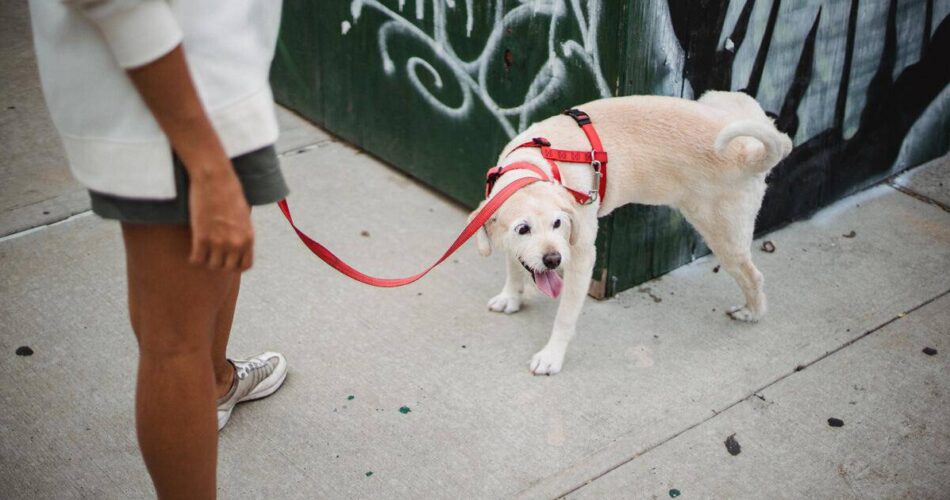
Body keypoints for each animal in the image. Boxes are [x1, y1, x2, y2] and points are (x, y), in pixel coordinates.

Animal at [474, 92, 796, 376]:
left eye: (558, 223)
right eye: (523, 229)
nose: (553, 260)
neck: (535, 164)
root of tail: (748, 152)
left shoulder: (581, 257)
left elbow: (564, 316)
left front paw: (552, 356)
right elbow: (515, 267)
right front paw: (510, 298)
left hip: (724, 237)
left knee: (753, 276)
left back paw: (752, 313)